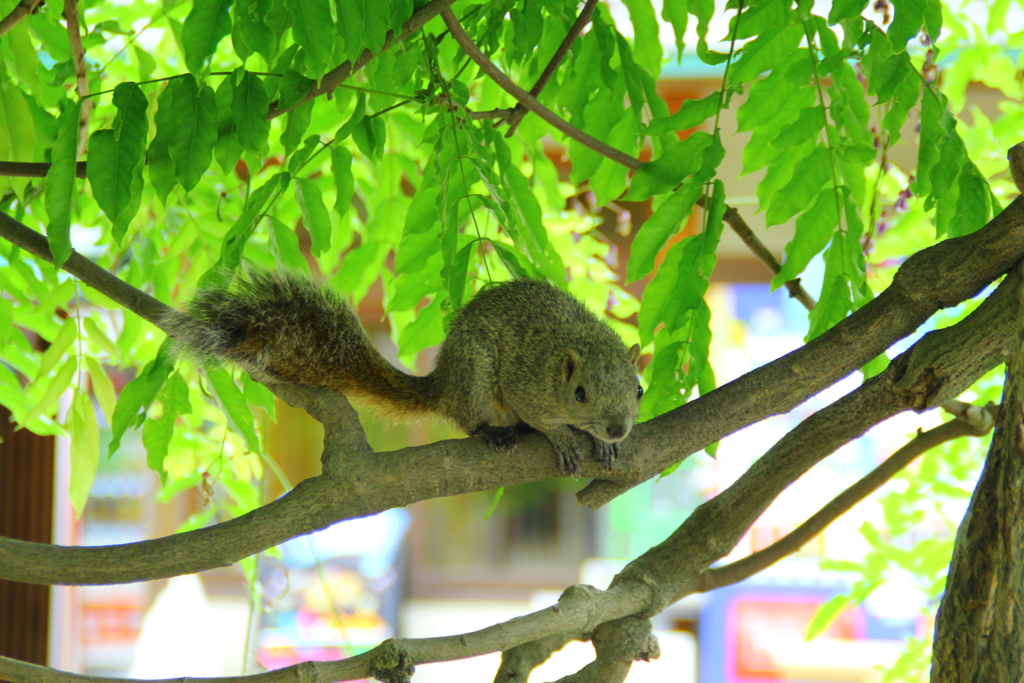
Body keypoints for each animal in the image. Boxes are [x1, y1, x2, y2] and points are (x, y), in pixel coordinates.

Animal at [163, 270, 643, 479]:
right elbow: (544, 419)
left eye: (638, 390)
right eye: (579, 393)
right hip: (476, 372)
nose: (617, 429)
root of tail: (444, 384)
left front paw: (604, 444)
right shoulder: (525, 384)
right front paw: (565, 440)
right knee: (469, 419)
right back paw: (493, 433)